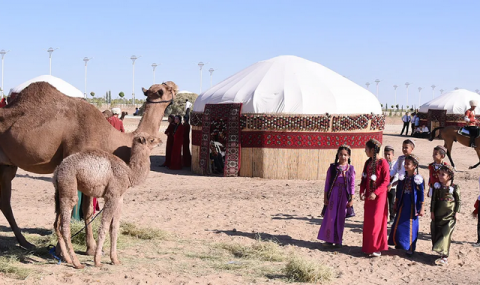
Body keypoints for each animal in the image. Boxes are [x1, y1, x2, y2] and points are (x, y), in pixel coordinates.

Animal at [0, 80, 176, 251]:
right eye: (167, 89)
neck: (108, 137)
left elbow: (83, 208)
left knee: (5, 202)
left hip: (7, 166)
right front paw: (83, 248)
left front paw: (78, 247)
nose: (174, 85)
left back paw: (25, 242)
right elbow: (82, 207)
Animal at [52, 132, 161, 268]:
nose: (161, 141)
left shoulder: (120, 198)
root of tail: (57, 171)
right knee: (65, 225)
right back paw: (77, 263)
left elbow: (114, 227)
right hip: (69, 185)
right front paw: (97, 261)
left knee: (56, 224)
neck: (129, 174)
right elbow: (104, 225)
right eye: (152, 139)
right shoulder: (112, 195)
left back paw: (67, 259)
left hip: (59, 192)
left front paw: (115, 260)